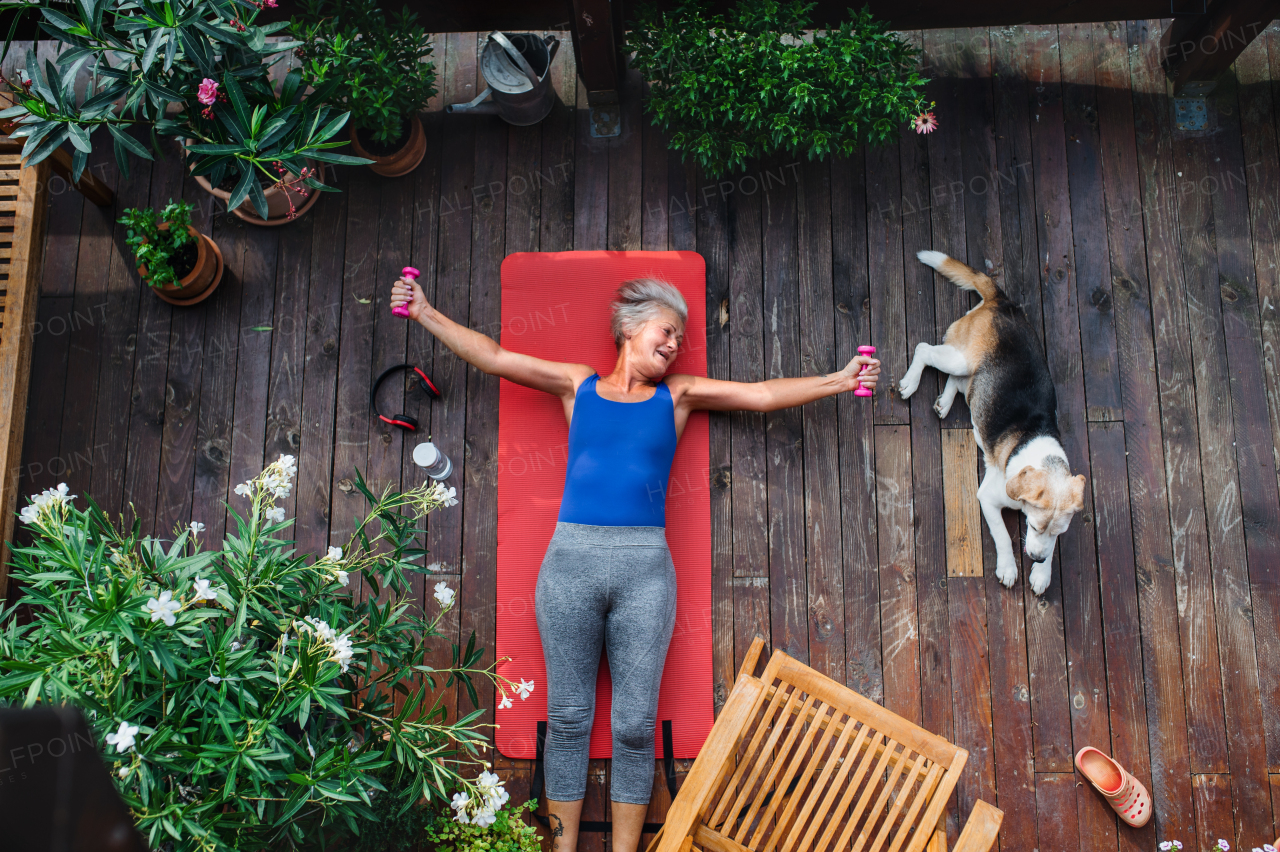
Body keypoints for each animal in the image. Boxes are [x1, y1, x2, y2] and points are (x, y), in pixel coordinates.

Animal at [901, 246, 1080, 591]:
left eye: (1057, 532)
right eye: (1034, 526)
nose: (1035, 559)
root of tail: (1001, 300)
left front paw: (1042, 573)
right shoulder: (987, 498)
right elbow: (1003, 537)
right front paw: (1009, 568)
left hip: (973, 371)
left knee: (962, 386)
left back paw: (944, 403)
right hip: (959, 358)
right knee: (924, 350)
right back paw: (910, 383)